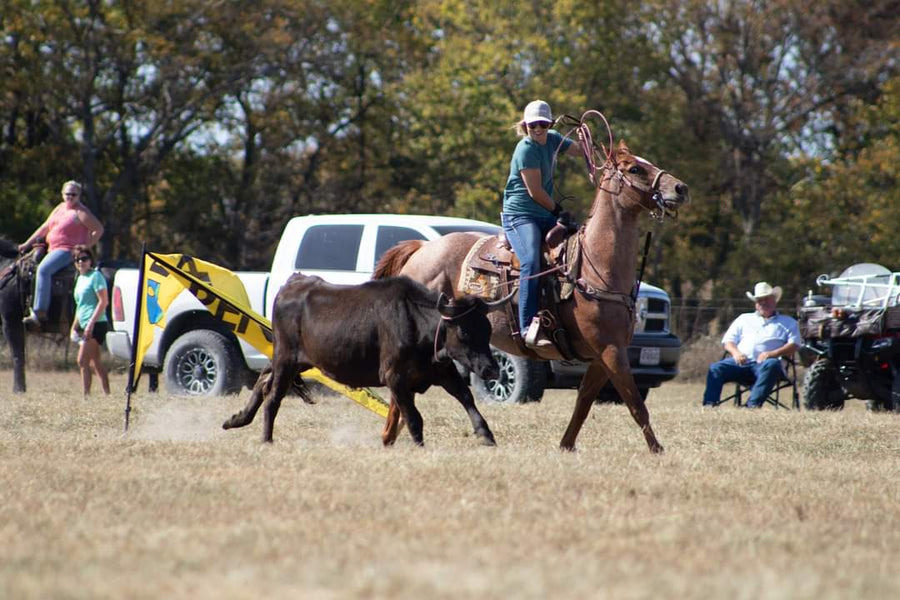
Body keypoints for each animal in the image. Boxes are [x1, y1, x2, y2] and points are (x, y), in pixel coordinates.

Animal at [372, 138, 688, 452]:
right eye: (635, 168)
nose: (680, 188)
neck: (593, 266)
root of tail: (421, 249)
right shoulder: (611, 350)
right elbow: (635, 404)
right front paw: (657, 451)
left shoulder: (602, 356)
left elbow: (584, 402)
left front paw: (566, 445)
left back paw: (392, 435)